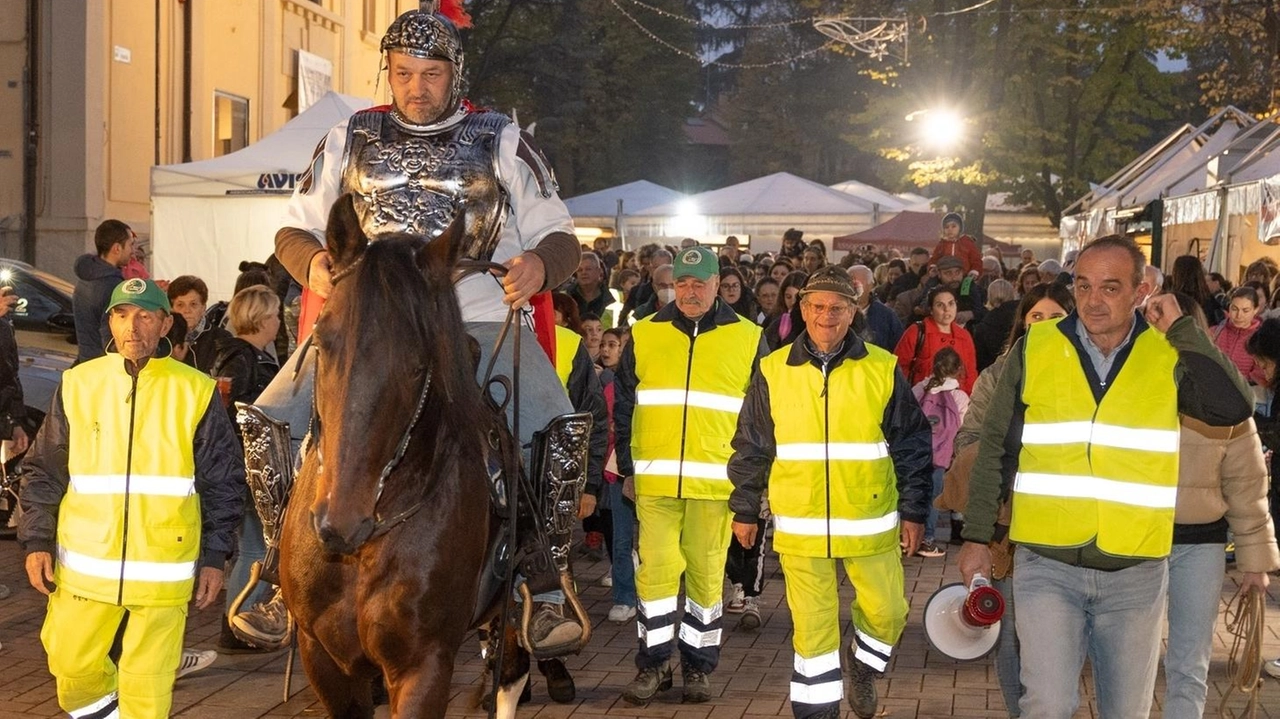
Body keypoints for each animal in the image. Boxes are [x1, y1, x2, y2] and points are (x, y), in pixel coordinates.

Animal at [284, 193, 529, 711]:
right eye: (322, 342)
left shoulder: (424, 665)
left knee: (510, 673)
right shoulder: (325, 660)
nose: (342, 522)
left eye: (419, 365)